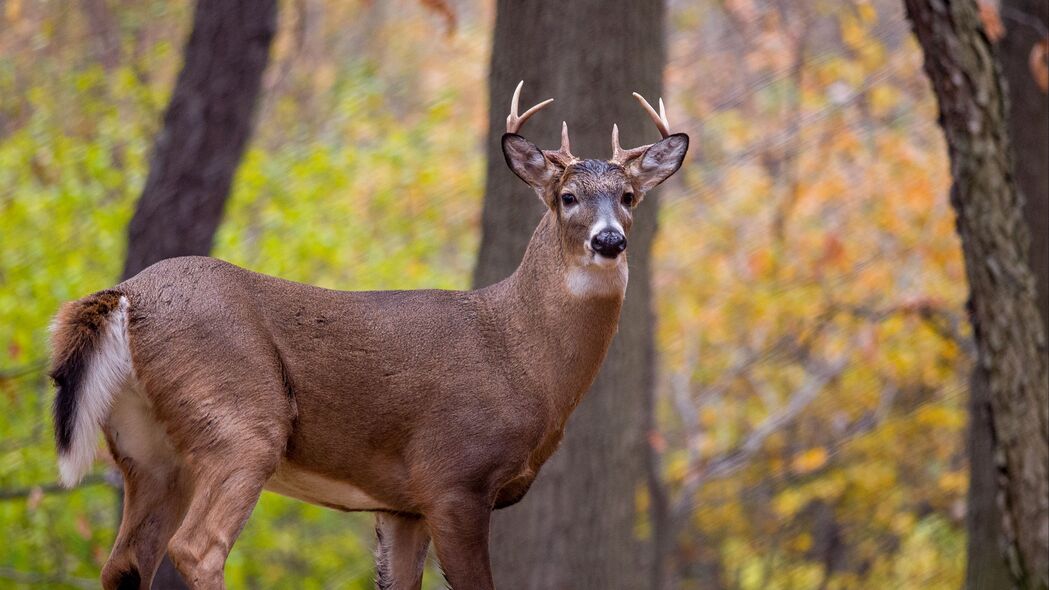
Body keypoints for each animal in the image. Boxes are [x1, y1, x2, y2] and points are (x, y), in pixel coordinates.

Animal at [47, 80, 688, 583]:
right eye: (567, 197)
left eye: (629, 197)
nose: (610, 240)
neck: (523, 360)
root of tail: (129, 294)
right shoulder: (452, 476)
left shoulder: (400, 505)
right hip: (240, 418)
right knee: (197, 547)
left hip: (149, 452)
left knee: (124, 563)